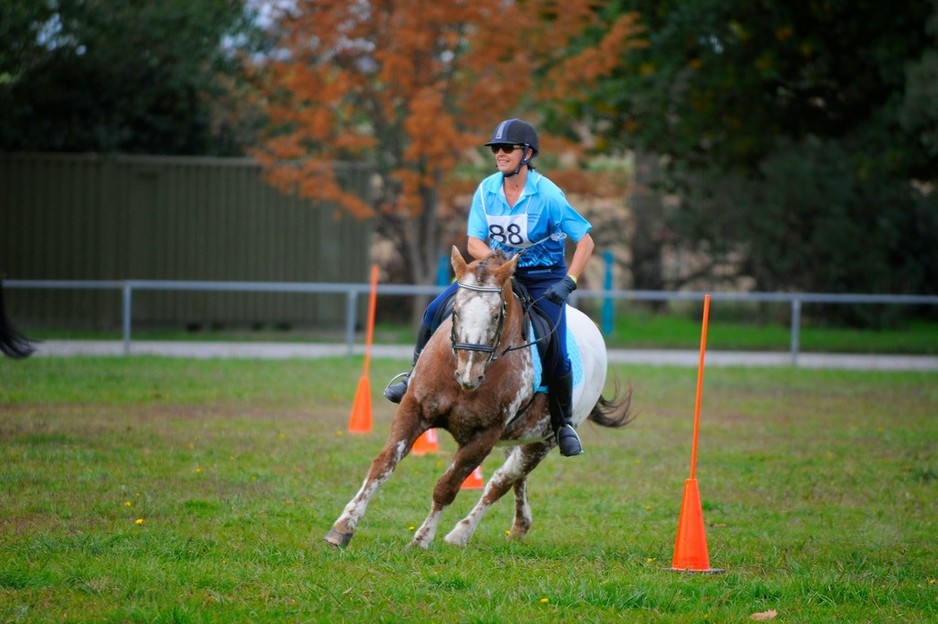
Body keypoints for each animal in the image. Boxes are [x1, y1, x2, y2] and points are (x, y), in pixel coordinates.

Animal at [326, 246, 632, 548]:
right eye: (456, 311)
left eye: (496, 315)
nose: (469, 375)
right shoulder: (413, 411)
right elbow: (383, 464)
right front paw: (342, 528)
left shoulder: (484, 436)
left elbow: (448, 487)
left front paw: (422, 539)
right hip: (515, 437)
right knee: (517, 479)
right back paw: (519, 526)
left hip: (542, 441)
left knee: (502, 480)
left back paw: (460, 535)